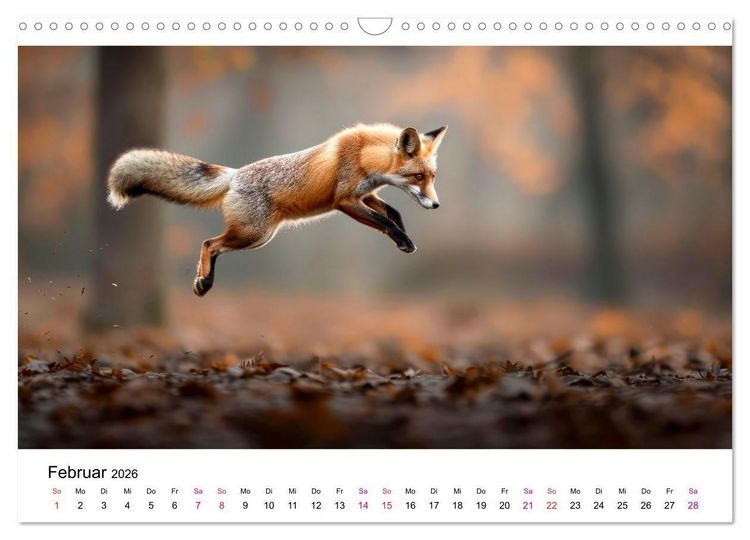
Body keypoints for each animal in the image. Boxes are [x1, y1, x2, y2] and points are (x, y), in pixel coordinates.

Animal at [106, 123, 447, 297]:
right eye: (418, 177)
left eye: (432, 177)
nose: (436, 205)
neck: (365, 155)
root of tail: (235, 175)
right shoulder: (344, 200)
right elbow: (384, 221)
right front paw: (403, 240)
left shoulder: (365, 194)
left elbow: (393, 214)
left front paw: (404, 238)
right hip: (253, 233)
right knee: (208, 243)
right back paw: (203, 282)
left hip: (258, 237)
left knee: (215, 246)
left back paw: (204, 282)